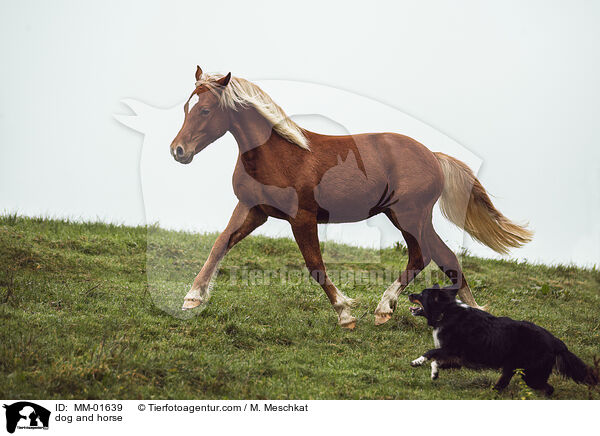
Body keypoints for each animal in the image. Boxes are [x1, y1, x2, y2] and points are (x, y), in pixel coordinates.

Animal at [168, 65, 528, 330]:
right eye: (186, 107)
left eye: (206, 110)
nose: (178, 151)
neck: (277, 155)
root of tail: (434, 156)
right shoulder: (253, 209)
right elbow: (220, 244)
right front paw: (192, 297)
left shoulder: (302, 218)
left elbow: (315, 265)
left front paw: (345, 313)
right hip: (409, 217)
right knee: (446, 257)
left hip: (409, 216)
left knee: (421, 256)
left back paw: (384, 308)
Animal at [406, 282, 596, 396]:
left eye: (421, 294)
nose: (409, 294)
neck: (446, 311)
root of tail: (556, 341)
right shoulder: (457, 358)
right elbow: (436, 360)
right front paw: (434, 373)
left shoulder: (452, 349)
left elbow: (431, 352)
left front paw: (416, 361)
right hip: (514, 368)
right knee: (505, 383)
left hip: (531, 374)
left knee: (548, 388)